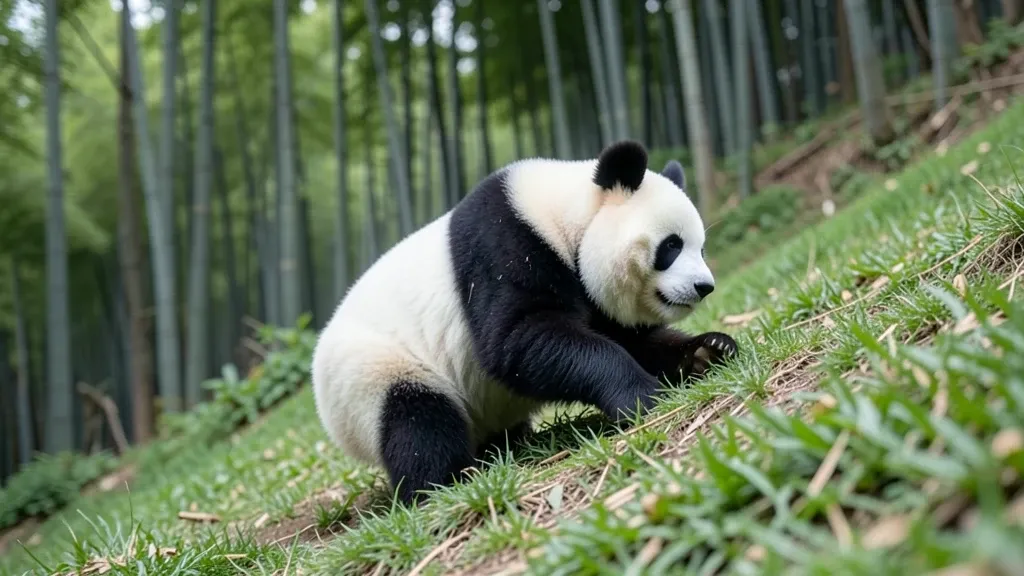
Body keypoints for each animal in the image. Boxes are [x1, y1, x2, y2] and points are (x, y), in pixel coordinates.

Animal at [311, 140, 739, 504]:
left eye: (701, 248)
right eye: (671, 246)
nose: (704, 287)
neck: (562, 214)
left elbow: (630, 339)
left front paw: (709, 350)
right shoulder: (504, 249)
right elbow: (518, 341)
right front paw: (642, 396)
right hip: (373, 373)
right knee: (418, 422)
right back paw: (445, 483)